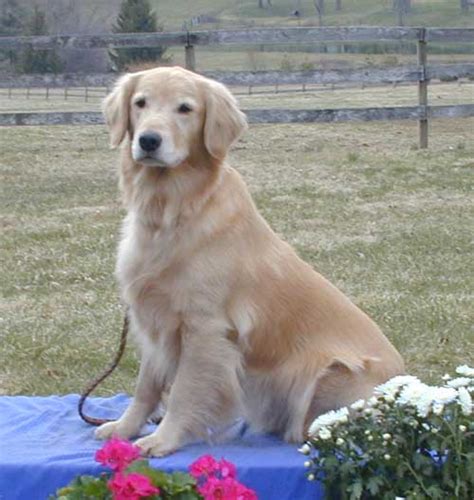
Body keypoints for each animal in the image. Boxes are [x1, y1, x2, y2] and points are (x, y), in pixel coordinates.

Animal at [95, 66, 404, 458]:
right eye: (140, 103)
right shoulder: (155, 318)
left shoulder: (205, 328)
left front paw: (164, 438)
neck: (171, 211)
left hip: (330, 370)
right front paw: (125, 427)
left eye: (185, 108)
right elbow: (145, 386)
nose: (149, 140)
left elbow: (182, 391)